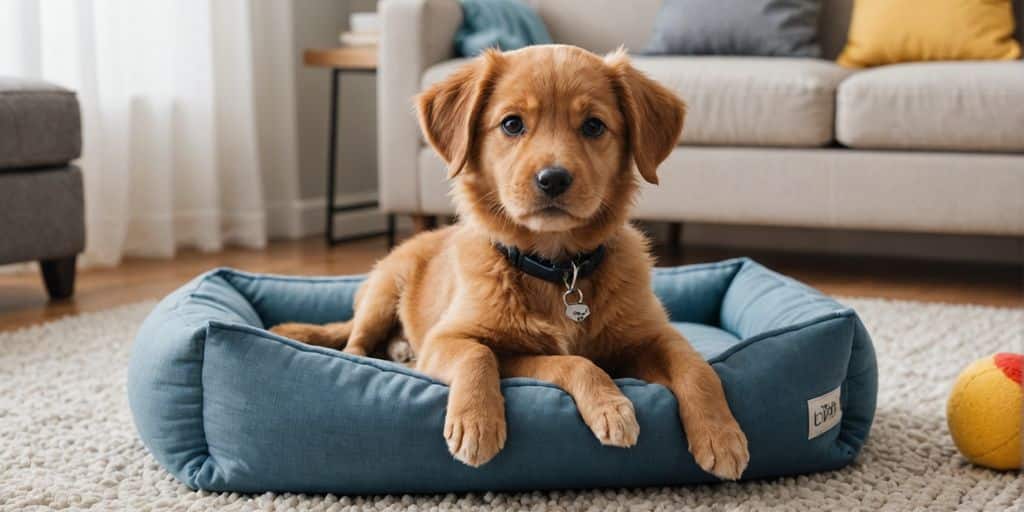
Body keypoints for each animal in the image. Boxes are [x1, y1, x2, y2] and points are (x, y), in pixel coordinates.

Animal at [274, 44, 753, 479]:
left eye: (594, 126)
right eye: (511, 124)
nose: (553, 179)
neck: (559, 268)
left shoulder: (653, 335)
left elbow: (696, 368)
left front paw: (722, 435)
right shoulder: (453, 338)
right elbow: (490, 355)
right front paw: (477, 422)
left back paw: (400, 349)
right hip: (383, 289)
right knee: (354, 346)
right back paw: (382, 358)